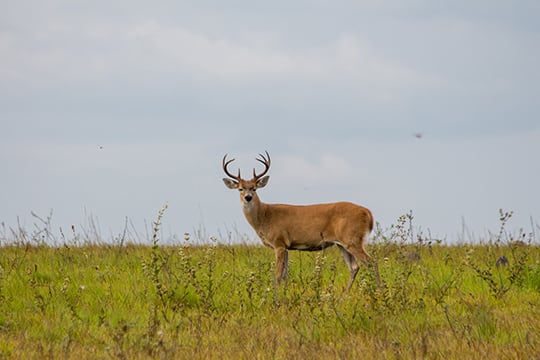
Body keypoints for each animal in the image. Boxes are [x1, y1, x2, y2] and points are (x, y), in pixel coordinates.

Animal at [221, 151, 378, 290]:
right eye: (240, 189)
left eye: (254, 188)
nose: (248, 197)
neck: (264, 216)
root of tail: (368, 212)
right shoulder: (286, 246)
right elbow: (285, 275)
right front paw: (285, 293)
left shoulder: (279, 242)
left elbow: (278, 275)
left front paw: (276, 299)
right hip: (342, 243)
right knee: (354, 267)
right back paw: (344, 295)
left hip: (353, 239)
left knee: (372, 263)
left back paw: (378, 291)